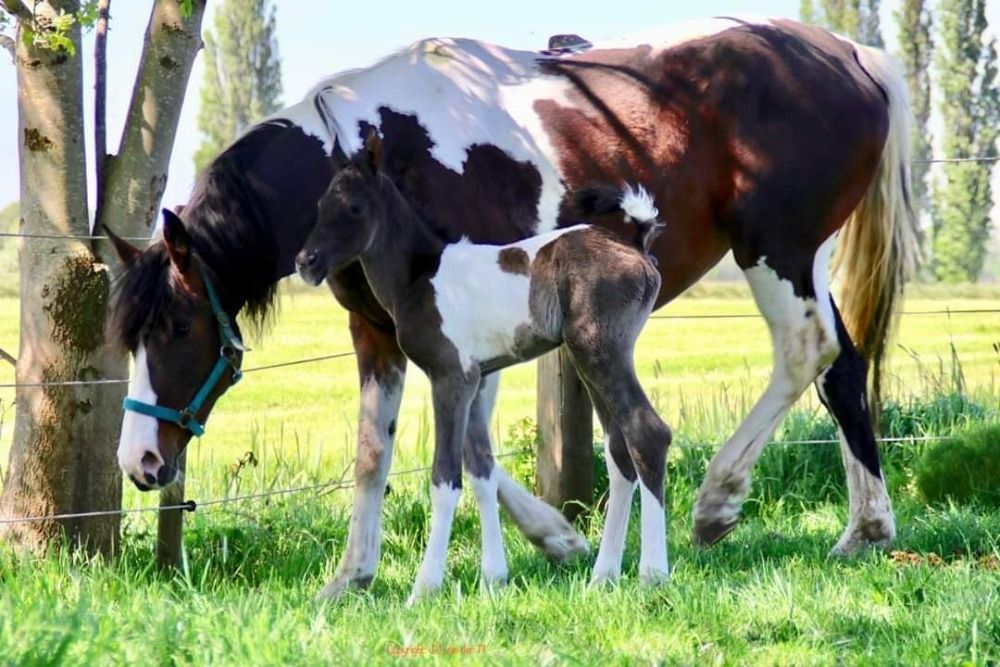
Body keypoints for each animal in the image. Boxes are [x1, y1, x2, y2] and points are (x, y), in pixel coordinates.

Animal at [296, 131, 668, 600]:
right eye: (321, 203)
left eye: (355, 208)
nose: (306, 262)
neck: (420, 276)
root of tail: (634, 244)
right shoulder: (475, 381)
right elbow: (481, 470)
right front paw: (494, 577)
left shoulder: (450, 378)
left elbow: (445, 477)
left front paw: (424, 588)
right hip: (591, 360)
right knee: (620, 452)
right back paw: (602, 577)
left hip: (601, 352)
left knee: (648, 434)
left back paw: (653, 574)